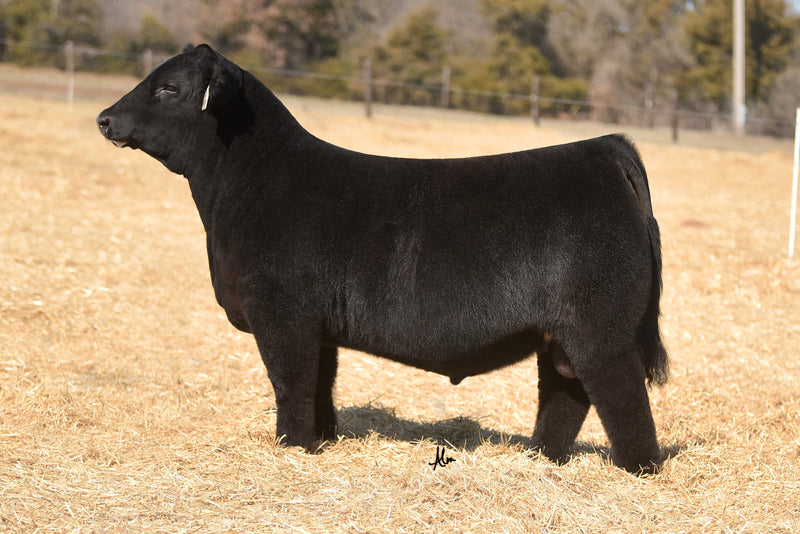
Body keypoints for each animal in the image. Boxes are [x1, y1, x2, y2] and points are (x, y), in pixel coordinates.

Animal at [97, 44, 668, 475]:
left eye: (169, 88)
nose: (104, 118)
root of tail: (604, 147)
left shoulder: (282, 314)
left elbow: (291, 382)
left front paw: (291, 445)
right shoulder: (319, 326)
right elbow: (321, 382)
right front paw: (322, 439)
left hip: (601, 329)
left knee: (621, 394)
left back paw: (639, 469)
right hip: (560, 334)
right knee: (566, 392)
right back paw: (541, 458)